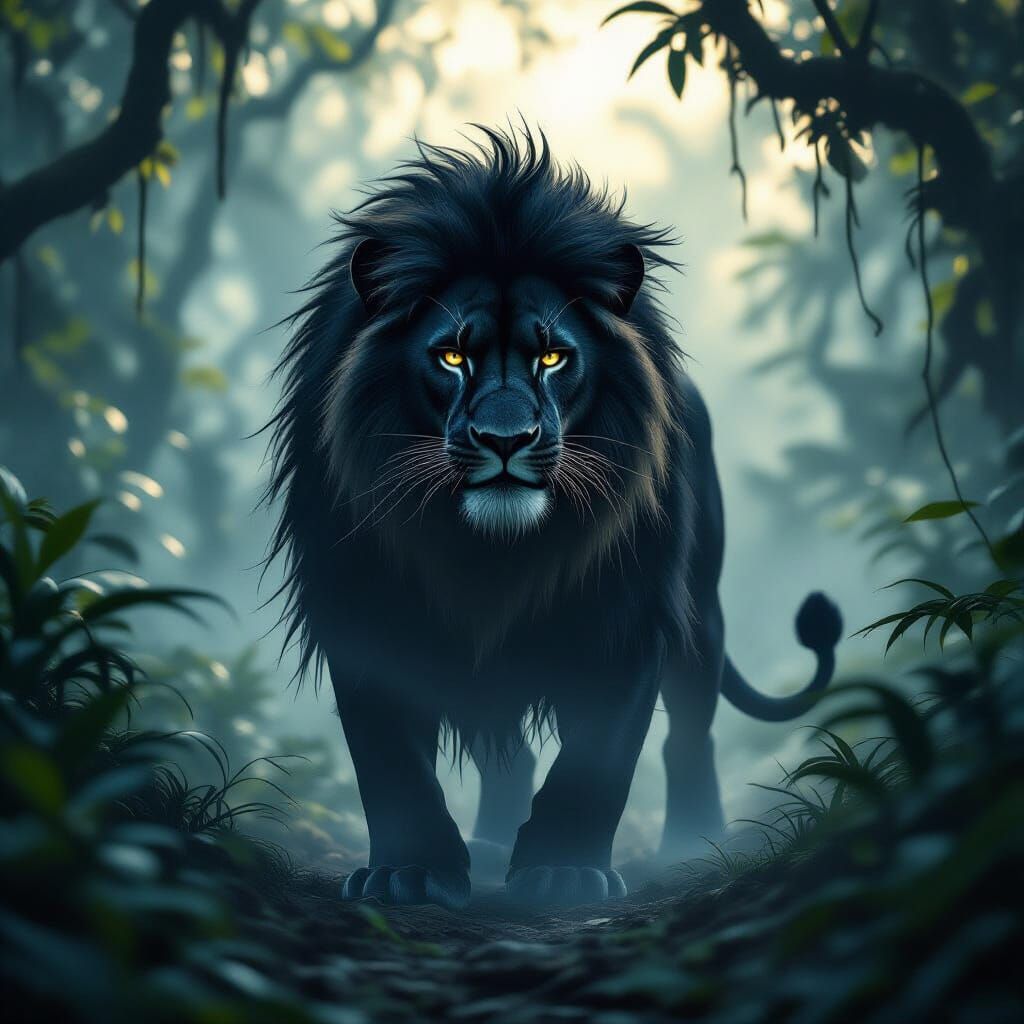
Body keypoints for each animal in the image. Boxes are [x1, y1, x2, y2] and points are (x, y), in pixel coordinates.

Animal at [263, 126, 842, 909]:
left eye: (553, 357)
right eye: (452, 356)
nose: (506, 440)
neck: (488, 552)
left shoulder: (627, 614)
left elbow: (599, 758)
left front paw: (564, 873)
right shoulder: (362, 614)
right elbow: (389, 758)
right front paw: (410, 874)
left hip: (700, 610)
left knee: (689, 732)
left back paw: (691, 843)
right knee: (505, 747)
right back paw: (488, 846)